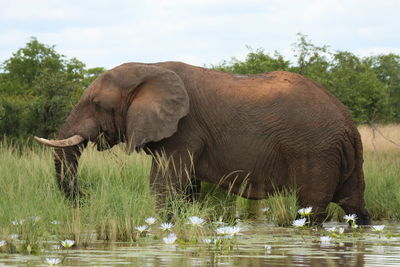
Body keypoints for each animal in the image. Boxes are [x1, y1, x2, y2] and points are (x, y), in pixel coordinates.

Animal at [35, 61, 372, 225]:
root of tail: (348, 123)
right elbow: (185, 188)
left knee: (310, 211)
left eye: (95, 104)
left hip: (315, 152)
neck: (150, 67)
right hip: (338, 155)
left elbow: (164, 184)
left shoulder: (184, 129)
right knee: (355, 207)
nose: (86, 195)